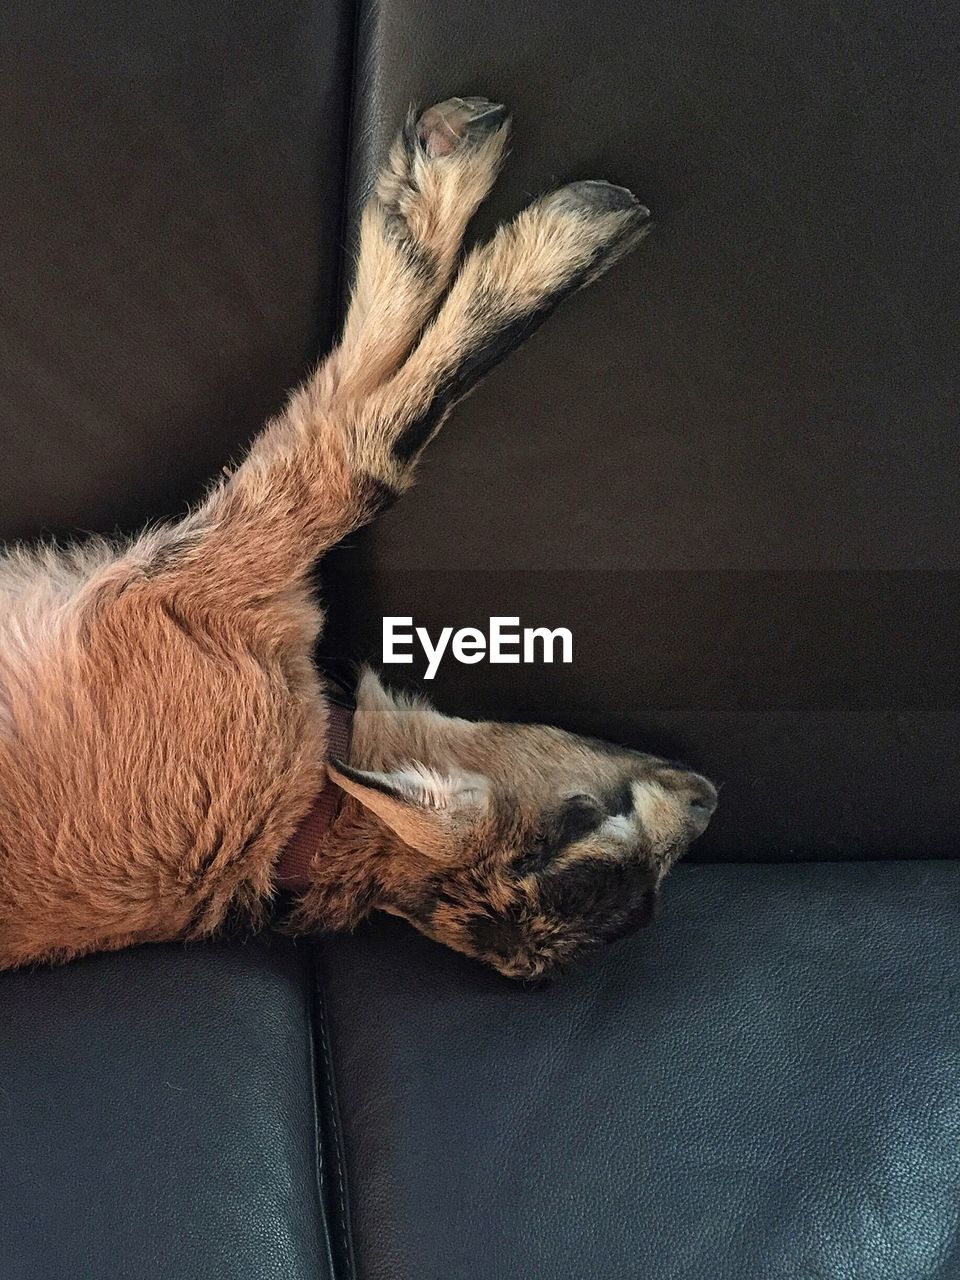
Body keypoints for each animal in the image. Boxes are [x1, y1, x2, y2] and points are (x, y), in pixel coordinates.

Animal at [0, 99, 716, 977]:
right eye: (582, 813)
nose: (706, 796)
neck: (301, 811)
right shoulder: (193, 574)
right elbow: (363, 454)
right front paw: (538, 221)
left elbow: (350, 441)